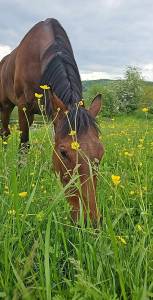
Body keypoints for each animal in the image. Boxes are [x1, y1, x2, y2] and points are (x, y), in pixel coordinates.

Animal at [0, 17, 104, 224]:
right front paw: (20, 172)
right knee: (5, 133)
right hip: (6, 105)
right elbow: (24, 144)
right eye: (63, 153)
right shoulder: (23, 106)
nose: (90, 220)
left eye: (101, 152)